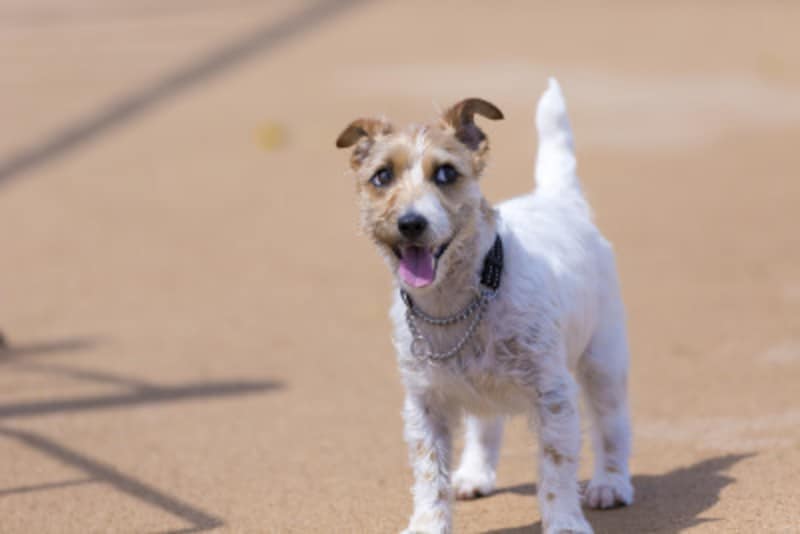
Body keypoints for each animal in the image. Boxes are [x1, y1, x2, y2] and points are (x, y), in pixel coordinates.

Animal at [336, 79, 632, 534]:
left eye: (446, 173)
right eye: (382, 176)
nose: (410, 223)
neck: (457, 303)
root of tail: (558, 200)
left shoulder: (554, 394)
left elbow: (556, 469)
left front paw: (564, 522)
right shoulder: (425, 403)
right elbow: (430, 475)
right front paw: (427, 524)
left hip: (603, 362)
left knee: (613, 426)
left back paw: (611, 484)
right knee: (485, 427)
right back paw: (474, 475)